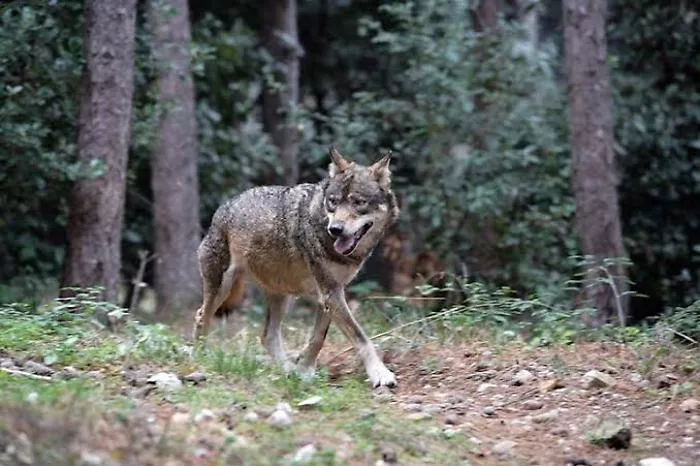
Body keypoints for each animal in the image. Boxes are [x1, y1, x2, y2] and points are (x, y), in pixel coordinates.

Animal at [192, 147, 400, 388]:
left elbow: (318, 338)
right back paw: (200, 357)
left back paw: (286, 370)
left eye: (358, 202)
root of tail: (223, 208)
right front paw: (380, 373)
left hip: (280, 296)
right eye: (333, 202)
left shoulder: (330, 294)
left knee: (268, 336)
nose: (335, 229)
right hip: (222, 289)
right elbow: (361, 337)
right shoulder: (330, 293)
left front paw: (304, 371)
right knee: (201, 316)